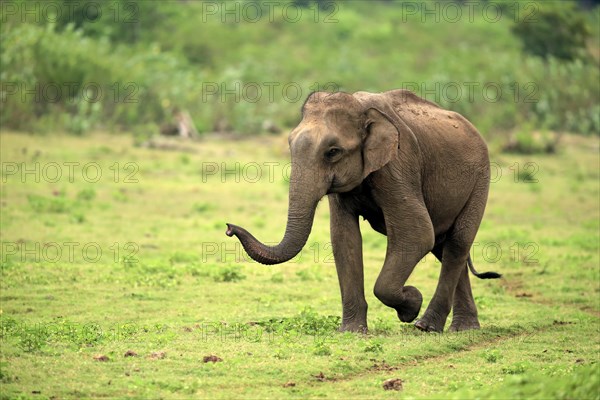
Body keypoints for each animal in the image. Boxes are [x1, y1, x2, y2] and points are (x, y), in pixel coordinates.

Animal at [227, 89, 500, 332]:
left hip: (481, 179)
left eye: (333, 152)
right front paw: (352, 331)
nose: (229, 228)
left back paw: (427, 326)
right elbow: (344, 239)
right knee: (444, 246)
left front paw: (411, 304)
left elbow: (417, 233)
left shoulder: (398, 165)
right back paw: (461, 328)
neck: (361, 108)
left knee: (456, 244)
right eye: (290, 145)